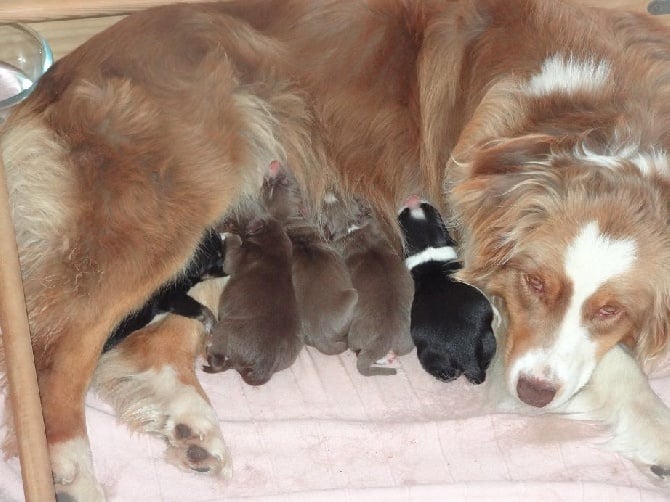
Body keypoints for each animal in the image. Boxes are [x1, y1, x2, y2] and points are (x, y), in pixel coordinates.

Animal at [202, 216, 302, 384]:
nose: (230, 220)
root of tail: (266, 366)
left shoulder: (234, 258)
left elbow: (234, 245)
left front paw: (230, 231)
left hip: (224, 329)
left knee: (218, 359)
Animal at [262, 163, 360, 354]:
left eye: (268, 185)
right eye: (286, 181)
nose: (274, 164)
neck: (291, 223)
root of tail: (321, 339)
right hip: (353, 296)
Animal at [326, 198, 414, 374]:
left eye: (328, 208)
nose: (329, 196)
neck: (353, 225)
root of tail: (383, 340)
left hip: (354, 334)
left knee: (357, 349)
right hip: (406, 341)